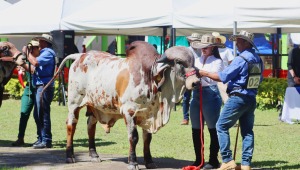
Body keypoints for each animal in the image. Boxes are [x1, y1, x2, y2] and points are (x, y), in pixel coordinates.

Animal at [47, 40, 199, 169]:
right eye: (179, 62)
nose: (196, 82)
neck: (150, 76)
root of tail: (80, 55)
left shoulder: (147, 114)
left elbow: (147, 139)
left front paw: (149, 161)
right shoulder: (129, 112)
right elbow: (133, 137)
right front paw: (133, 162)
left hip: (95, 105)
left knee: (90, 126)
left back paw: (94, 155)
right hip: (74, 103)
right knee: (71, 125)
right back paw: (70, 156)